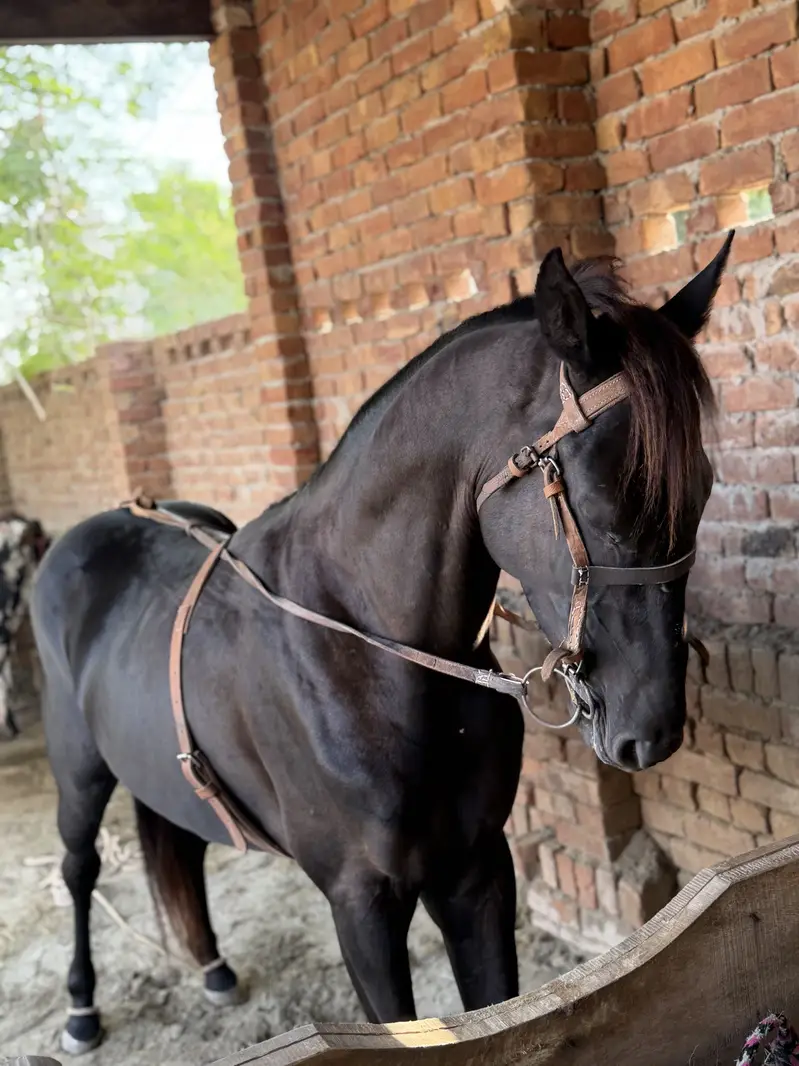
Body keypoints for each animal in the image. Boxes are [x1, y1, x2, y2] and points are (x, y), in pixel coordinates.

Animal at [30, 238, 732, 1055]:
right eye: (599, 497)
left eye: (702, 487)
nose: (650, 731)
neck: (371, 664)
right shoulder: (360, 905)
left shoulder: (476, 872)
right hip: (77, 772)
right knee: (79, 870)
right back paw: (81, 1008)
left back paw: (212, 968)